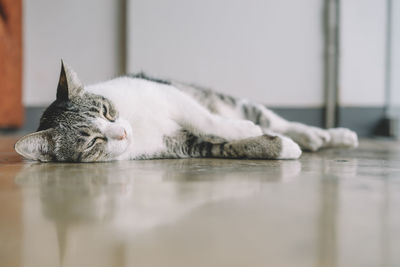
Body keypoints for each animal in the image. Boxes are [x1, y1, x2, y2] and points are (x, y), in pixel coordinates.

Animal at [14, 61, 360, 162]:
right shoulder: (183, 145)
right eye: (92, 142)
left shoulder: (171, 96)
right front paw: (278, 147)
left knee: (274, 118)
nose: (122, 132)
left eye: (107, 111)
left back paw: (328, 135)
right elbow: (224, 147)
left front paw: (244, 129)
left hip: (228, 100)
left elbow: (207, 120)